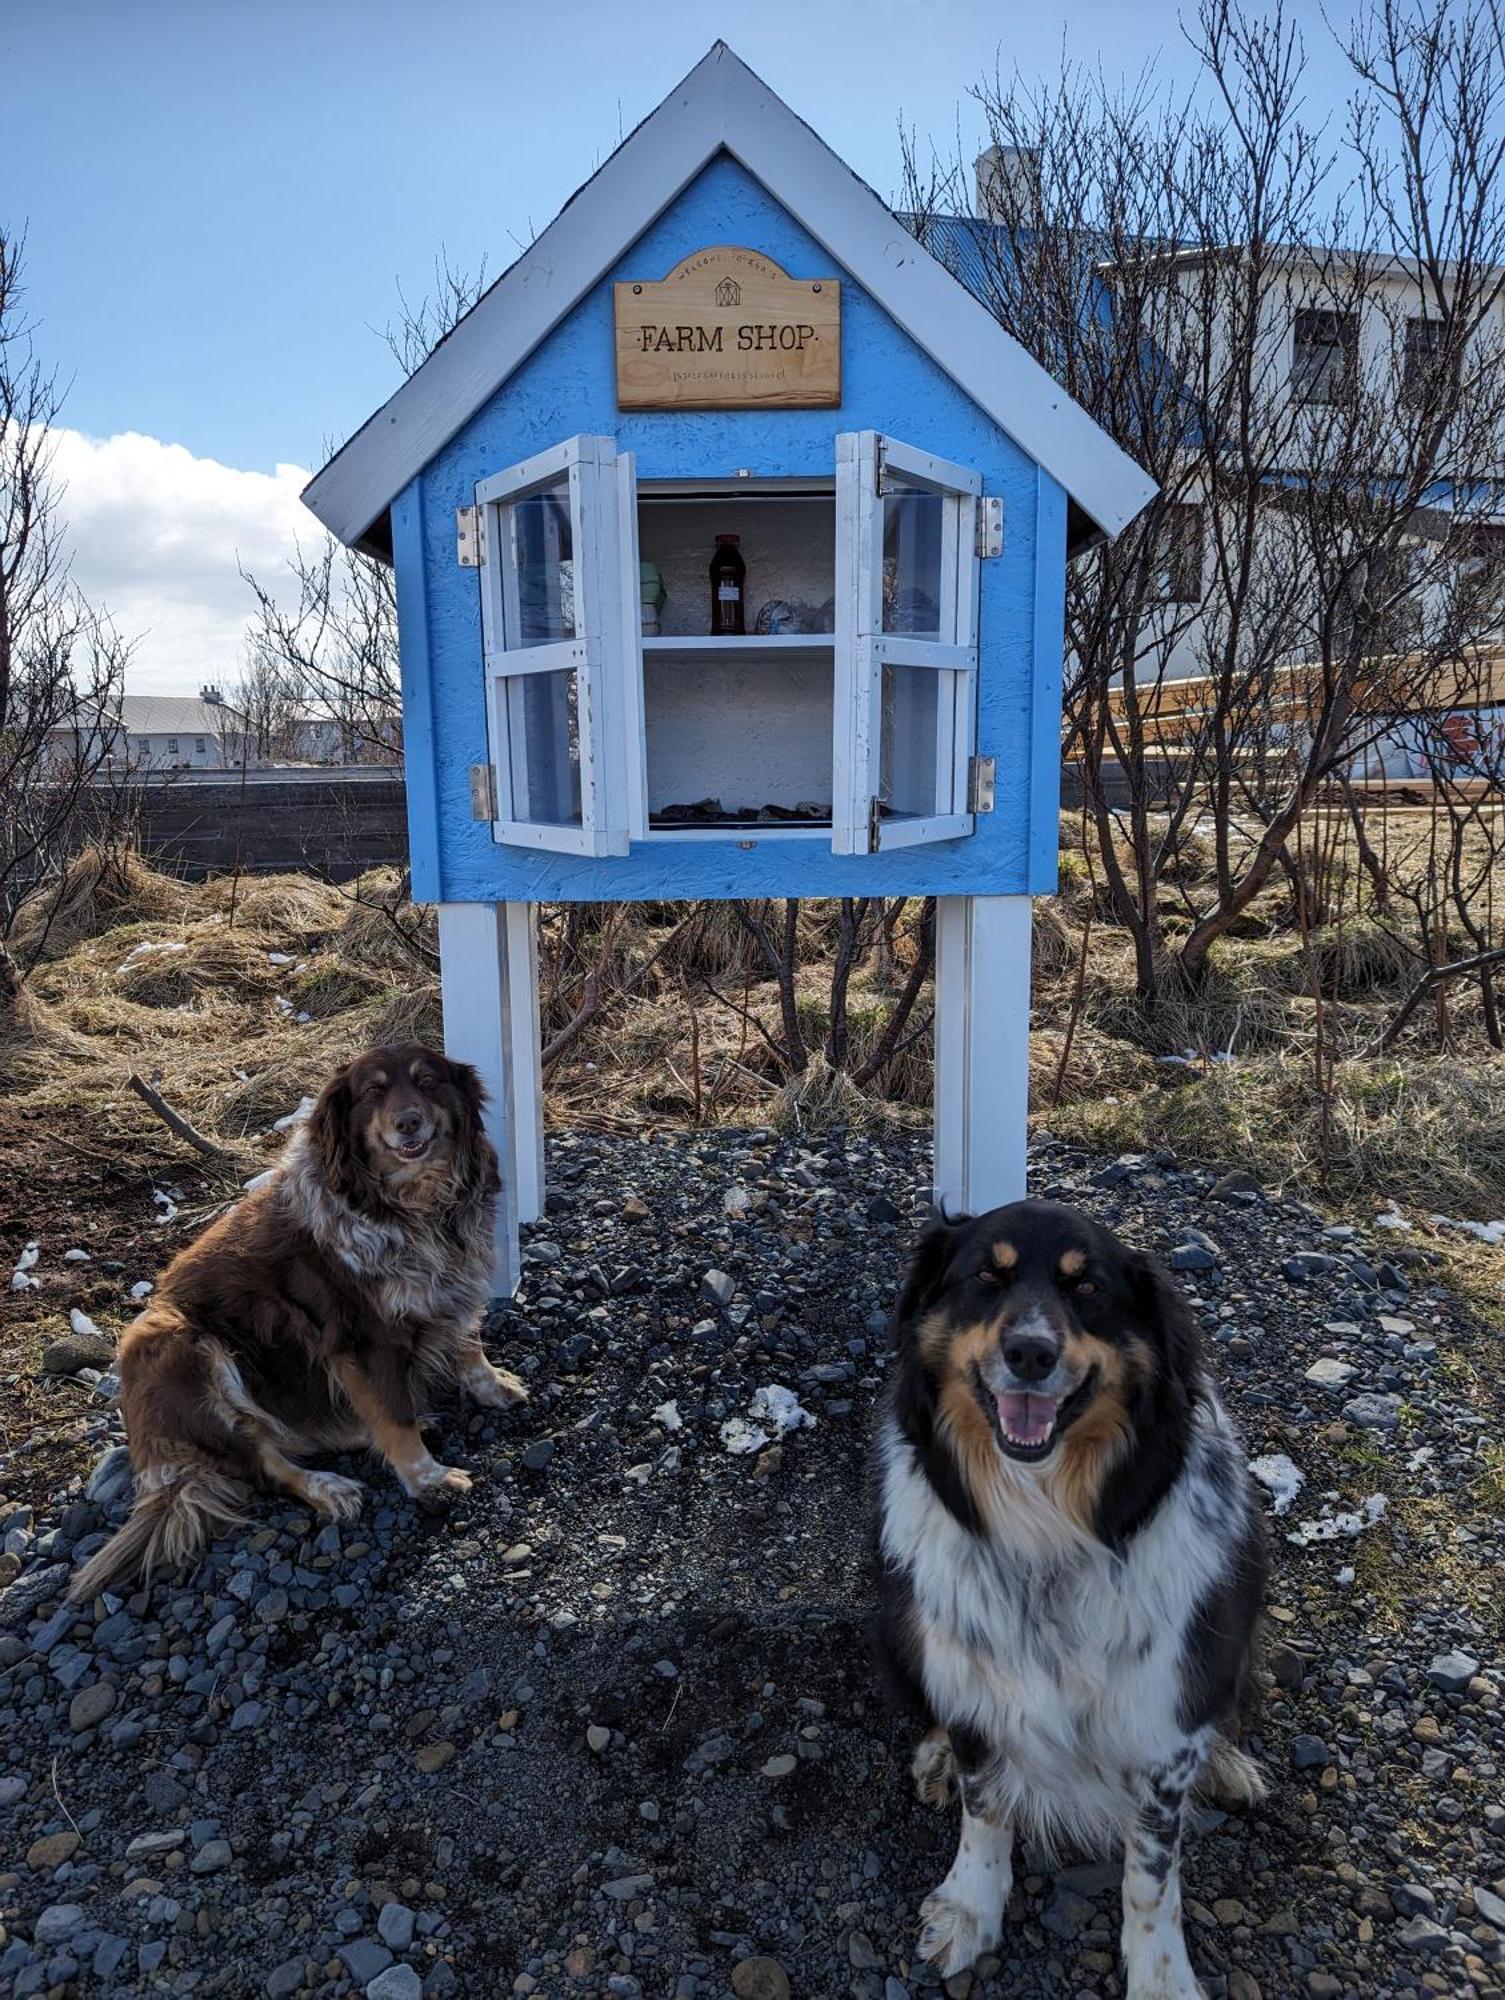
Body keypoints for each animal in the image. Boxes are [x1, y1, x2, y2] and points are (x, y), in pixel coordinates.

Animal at [70, 1040, 524, 1600]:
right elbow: (394, 1417)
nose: (408, 1123)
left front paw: (490, 1384)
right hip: (182, 1342)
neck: (412, 1206)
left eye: (428, 1082)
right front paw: (427, 1477)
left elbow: (467, 1343)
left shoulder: (451, 1285)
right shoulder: (363, 1339)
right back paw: (326, 1485)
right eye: (373, 1092)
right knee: (260, 1460)